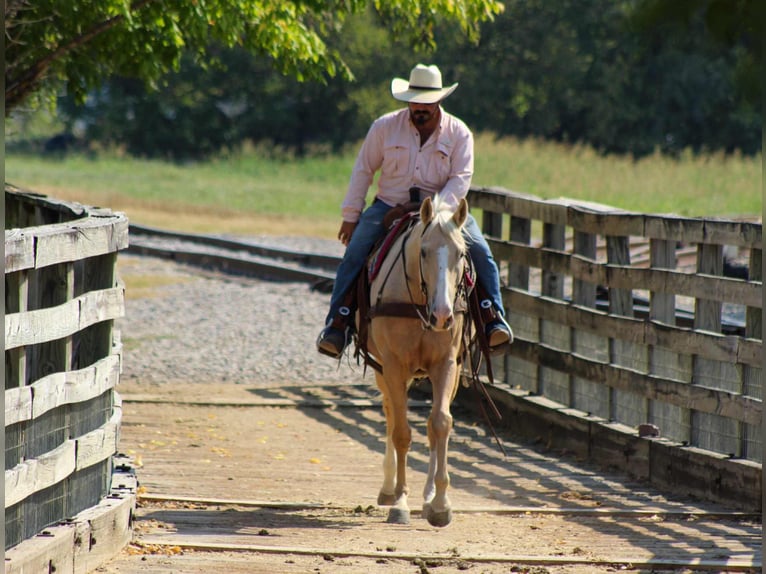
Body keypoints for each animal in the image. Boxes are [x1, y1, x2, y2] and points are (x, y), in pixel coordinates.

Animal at [362, 194, 471, 528]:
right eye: (423, 251)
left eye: (461, 253)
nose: (443, 315)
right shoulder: (393, 365)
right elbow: (401, 432)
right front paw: (400, 501)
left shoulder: (447, 364)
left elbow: (440, 423)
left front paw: (440, 503)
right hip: (385, 370)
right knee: (390, 413)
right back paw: (388, 489)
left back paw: (426, 496)